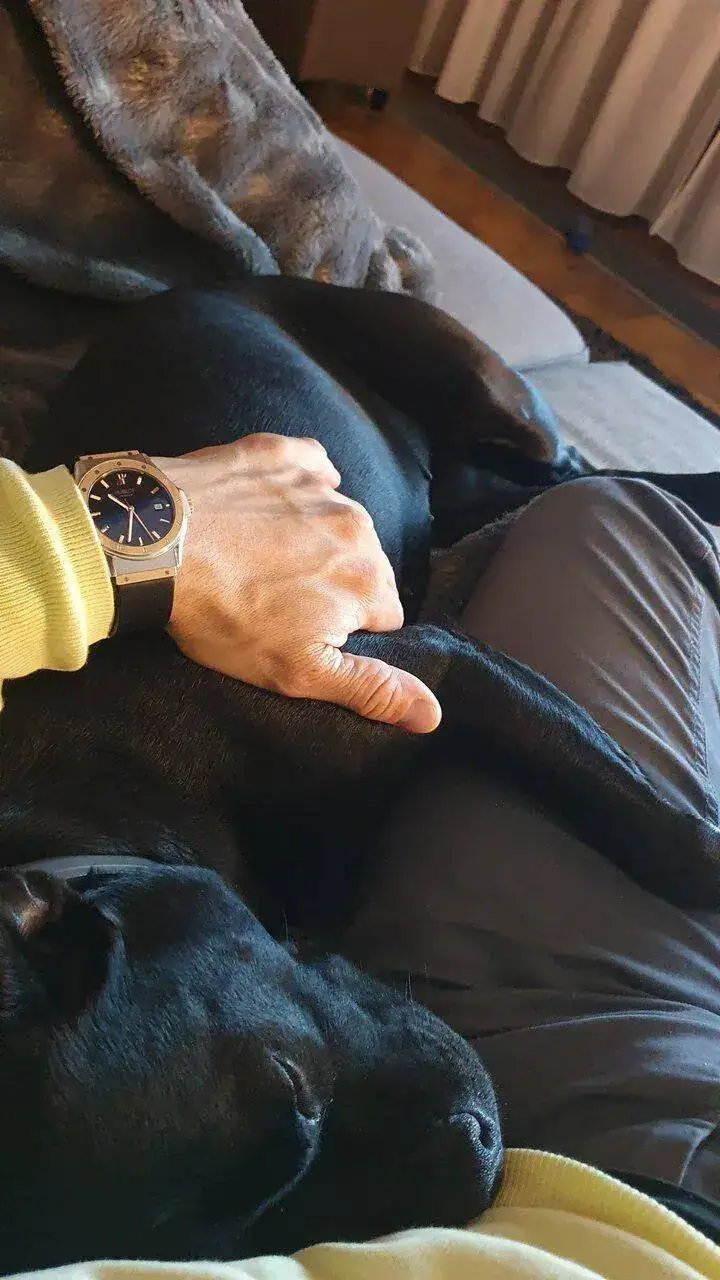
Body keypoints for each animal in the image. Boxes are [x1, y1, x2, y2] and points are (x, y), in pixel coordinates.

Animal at [0, 280, 565, 1272]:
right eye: (233, 1245)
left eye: (292, 1084)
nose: (480, 1154)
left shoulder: (444, 671)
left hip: (495, 402)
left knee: (559, 463)